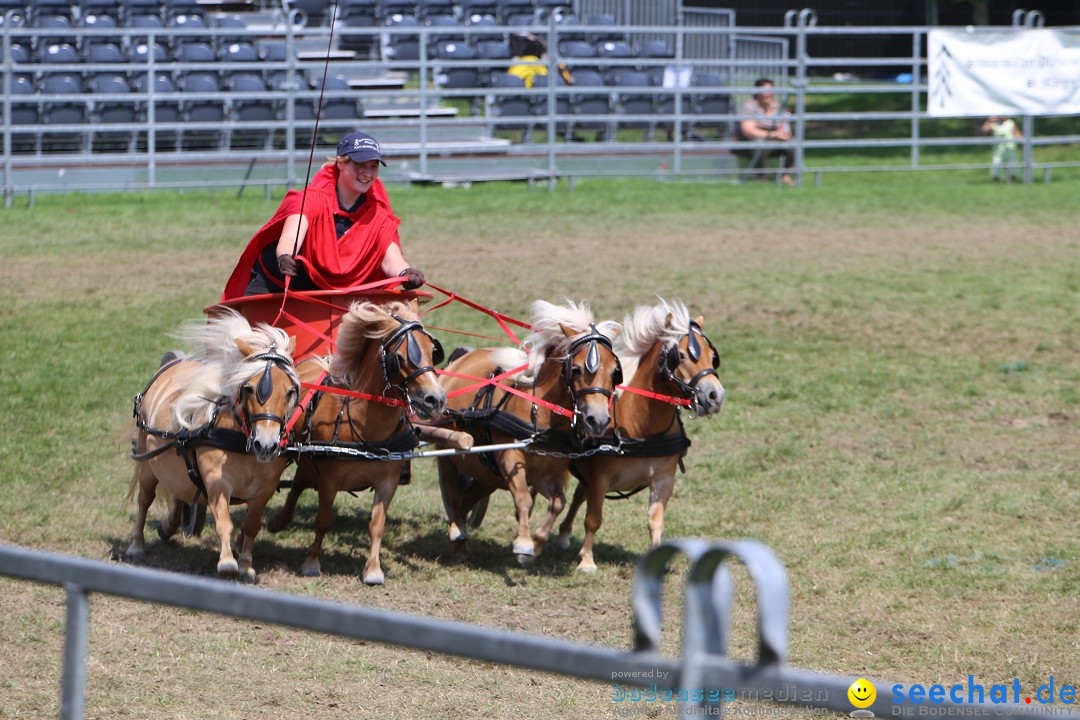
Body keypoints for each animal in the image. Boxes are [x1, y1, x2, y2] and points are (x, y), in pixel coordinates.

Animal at [129, 310, 302, 578]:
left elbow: (252, 525)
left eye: (290, 391)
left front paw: (245, 564)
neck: (242, 442)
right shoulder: (216, 482)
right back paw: (137, 544)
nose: (266, 444)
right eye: (249, 389)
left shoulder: (266, 488)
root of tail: (171, 366)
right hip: (148, 463)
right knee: (144, 499)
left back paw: (169, 526)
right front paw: (228, 562)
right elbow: (224, 523)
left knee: (179, 492)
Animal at [265, 297, 447, 587]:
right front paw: (311, 562)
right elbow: (324, 520)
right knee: (296, 483)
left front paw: (373, 570)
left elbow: (377, 525)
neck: (365, 426)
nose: (435, 399)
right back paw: (278, 521)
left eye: (433, 351)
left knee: (300, 480)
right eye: (399, 357)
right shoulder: (330, 480)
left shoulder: (388, 481)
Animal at [436, 297, 626, 561]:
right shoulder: (509, 457)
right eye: (576, 369)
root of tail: (461, 358)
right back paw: (456, 530)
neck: (541, 413)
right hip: (448, 449)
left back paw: (461, 540)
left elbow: (558, 502)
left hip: (486, 473)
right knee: (453, 492)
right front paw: (524, 544)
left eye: (614, 373)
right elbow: (523, 498)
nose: (597, 420)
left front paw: (537, 541)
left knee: (467, 497)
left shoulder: (550, 471)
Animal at [557, 295, 725, 569]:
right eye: (680, 355)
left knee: (578, 494)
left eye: (713, 356)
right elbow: (594, 518)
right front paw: (587, 561)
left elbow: (655, 522)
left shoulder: (664, 479)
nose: (715, 396)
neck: (643, 428)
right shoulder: (601, 479)